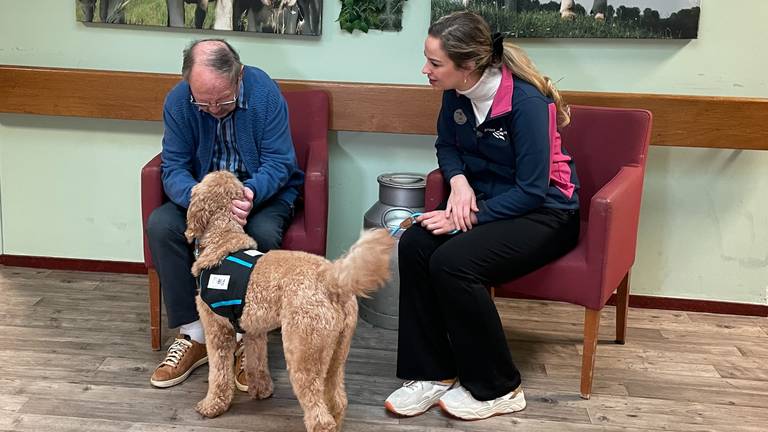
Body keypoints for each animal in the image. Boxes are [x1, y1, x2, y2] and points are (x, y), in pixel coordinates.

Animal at [183, 171, 392, 432]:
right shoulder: (254, 331)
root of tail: (332, 278)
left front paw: (212, 405)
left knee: (319, 417)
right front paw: (261, 390)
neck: (222, 238)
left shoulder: (217, 330)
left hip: (303, 350)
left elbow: (218, 373)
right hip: (337, 352)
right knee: (337, 400)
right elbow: (256, 362)